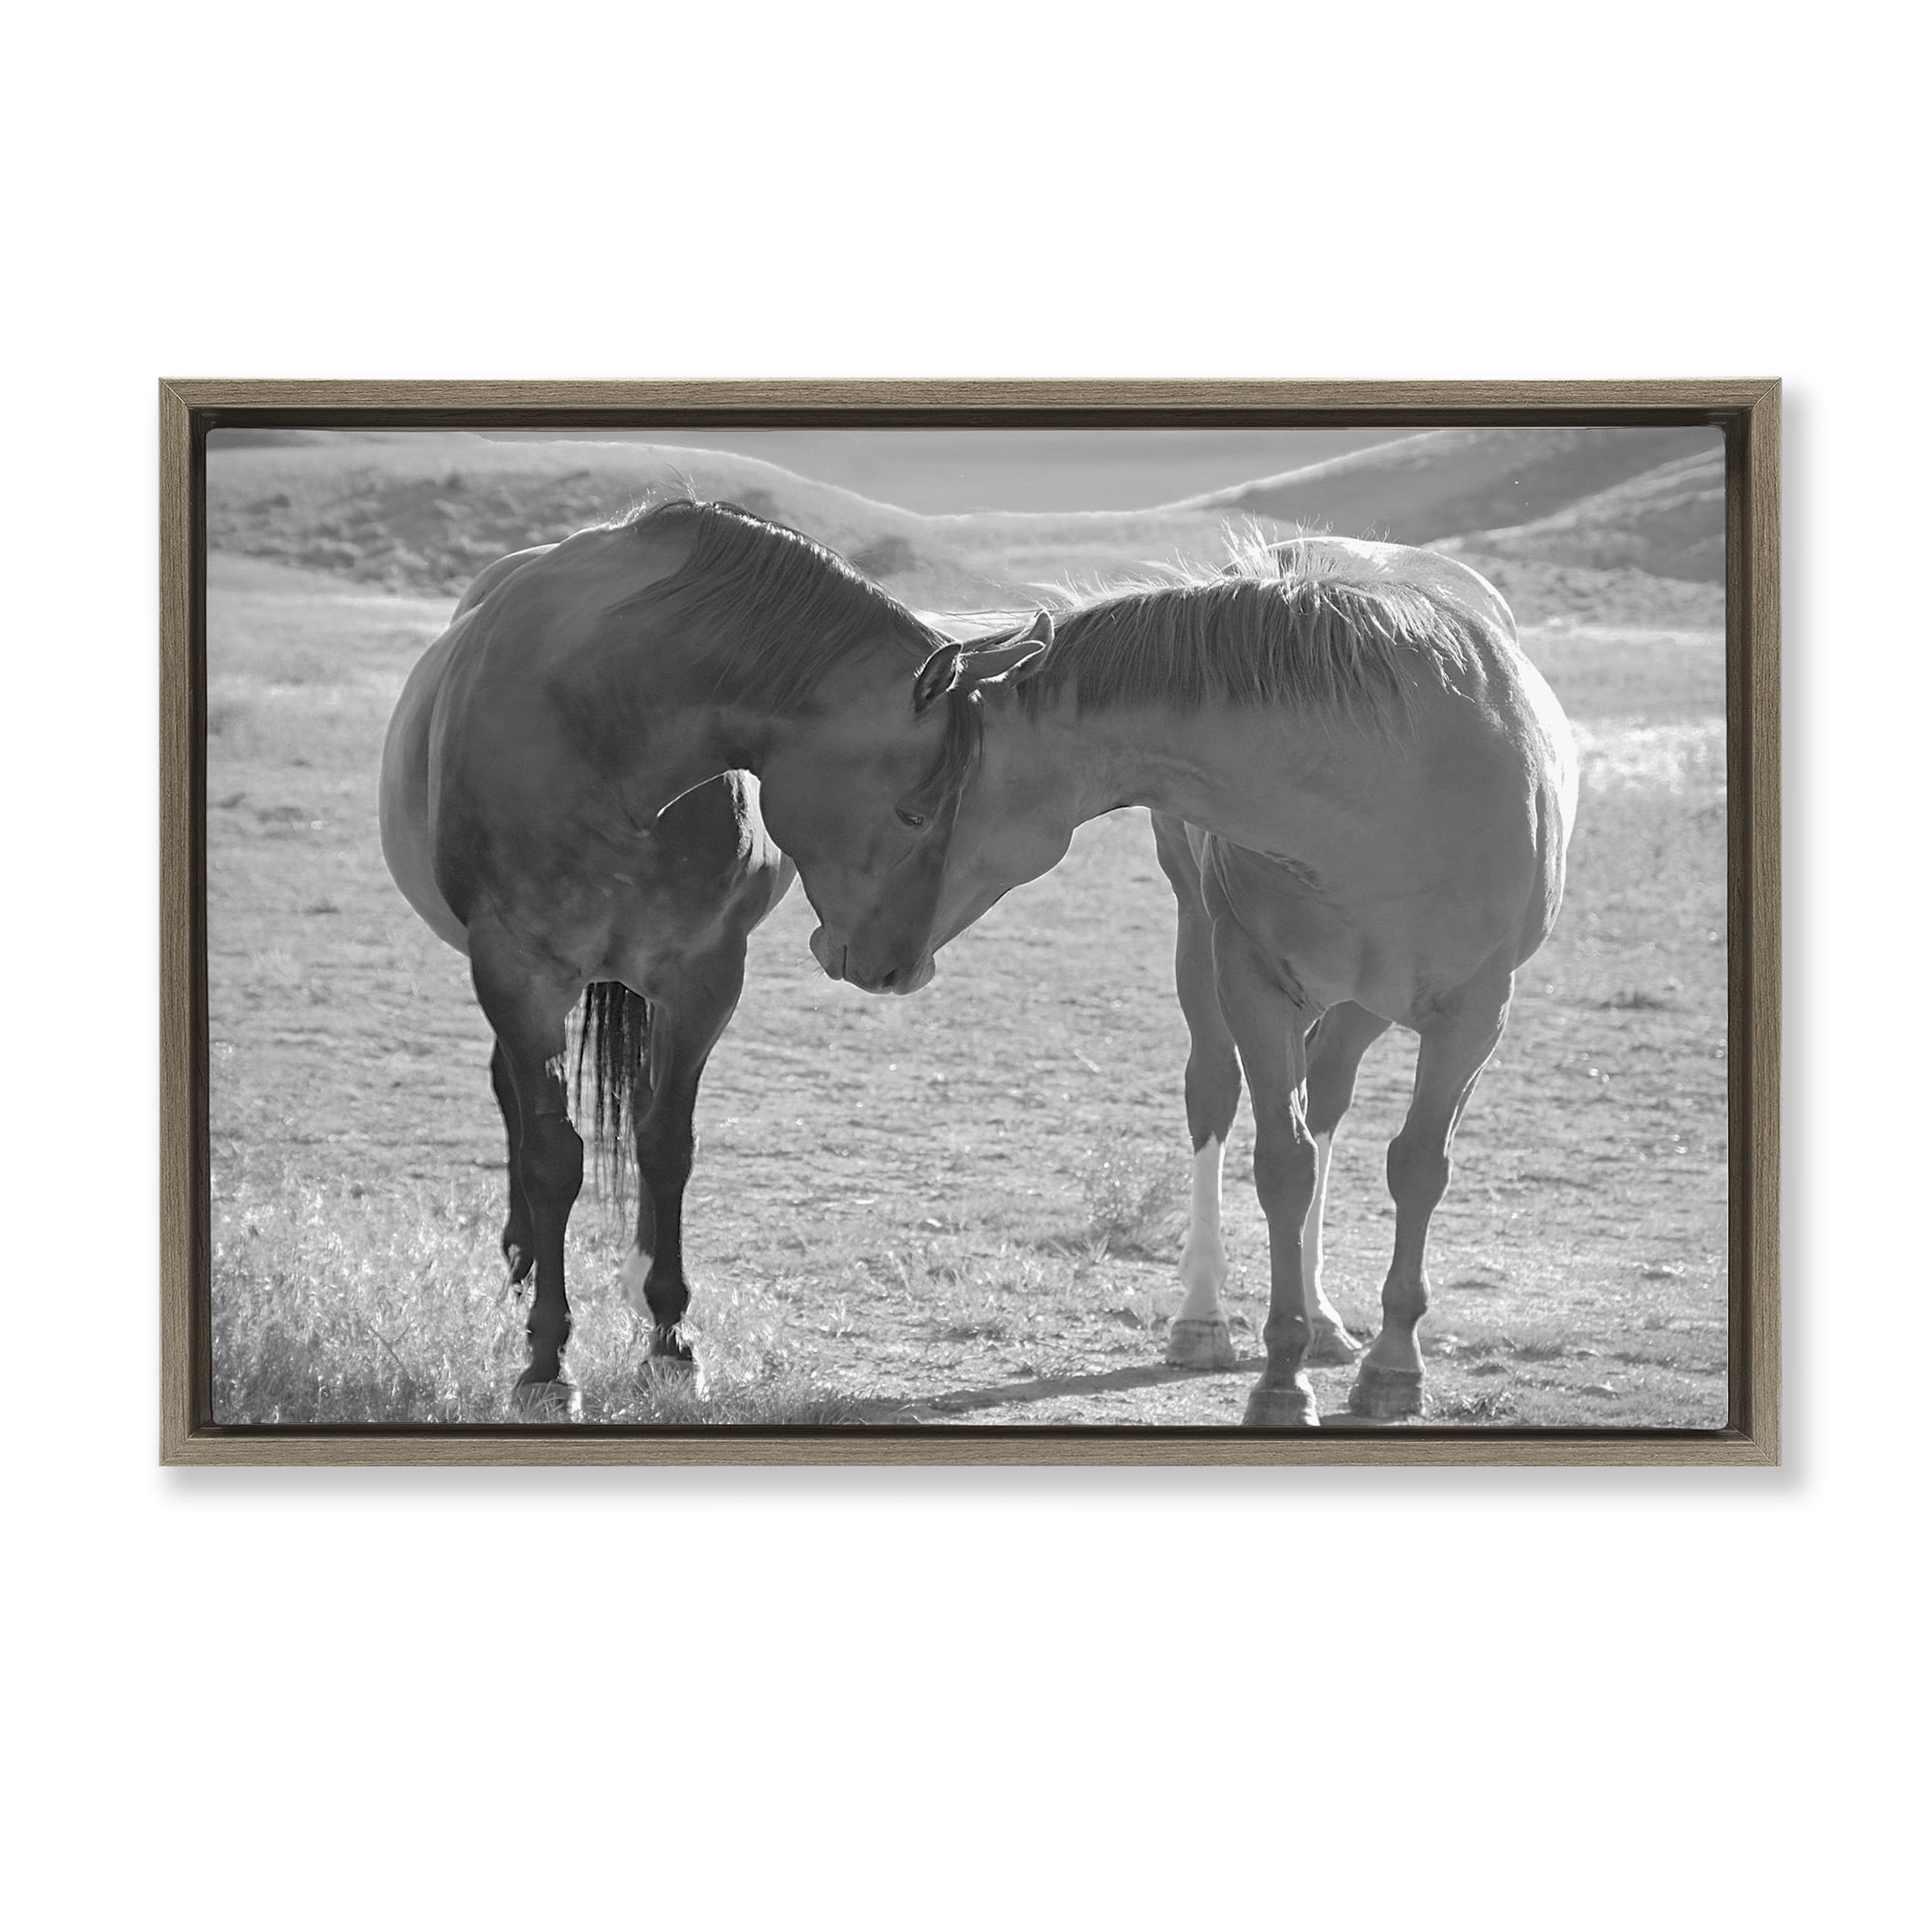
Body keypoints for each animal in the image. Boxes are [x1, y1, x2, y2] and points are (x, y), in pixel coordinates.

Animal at [378, 499, 1050, 1416]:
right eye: (915, 812)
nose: (900, 969)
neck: (605, 726)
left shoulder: (701, 978)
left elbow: (667, 1145)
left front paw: (669, 1339)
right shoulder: (517, 973)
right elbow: (554, 1157)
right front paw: (547, 1362)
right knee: (515, 1103)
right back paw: (521, 1256)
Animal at [809, 534, 1577, 1428]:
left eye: (912, 809)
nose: (841, 949)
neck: (1390, 782)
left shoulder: (1475, 1014)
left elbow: (1417, 1166)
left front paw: (1392, 1368)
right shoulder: (1252, 984)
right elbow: (1282, 1165)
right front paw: (1280, 1380)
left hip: (1364, 1003)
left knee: (1328, 1098)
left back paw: (1325, 1320)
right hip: (1202, 945)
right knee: (1215, 1093)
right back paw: (1204, 1317)